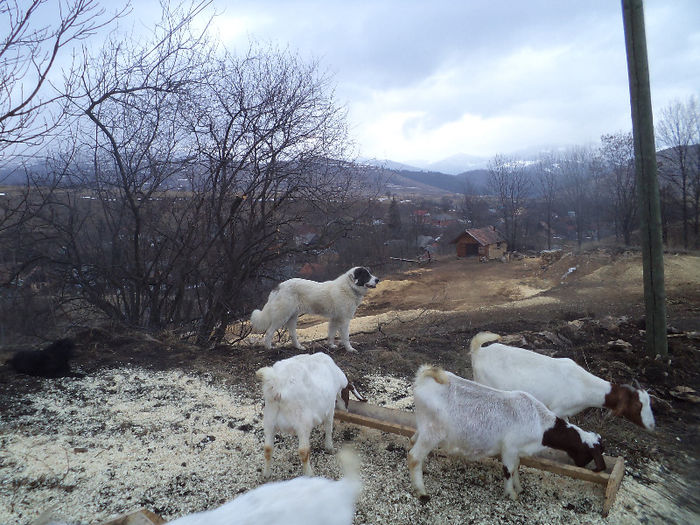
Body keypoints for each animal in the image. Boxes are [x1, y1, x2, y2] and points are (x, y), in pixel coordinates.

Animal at [252, 266, 380, 352]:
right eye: (366, 275)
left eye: (369, 273)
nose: (377, 279)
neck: (349, 287)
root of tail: (279, 286)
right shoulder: (344, 320)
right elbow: (346, 337)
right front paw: (350, 349)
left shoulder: (335, 319)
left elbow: (331, 333)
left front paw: (331, 346)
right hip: (282, 316)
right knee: (269, 332)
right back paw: (269, 348)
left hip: (292, 317)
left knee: (292, 334)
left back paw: (299, 347)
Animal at [410, 364, 608, 500]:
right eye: (590, 453)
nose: (583, 466)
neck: (540, 422)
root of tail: (424, 378)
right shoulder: (509, 447)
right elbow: (508, 470)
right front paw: (511, 494)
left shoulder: (517, 450)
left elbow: (516, 468)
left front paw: (518, 488)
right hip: (433, 432)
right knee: (414, 457)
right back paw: (421, 490)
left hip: (424, 427)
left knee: (413, 443)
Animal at [470, 332, 656, 430]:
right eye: (638, 405)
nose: (652, 424)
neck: (582, 385)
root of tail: (478, 352)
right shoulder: (557, 409)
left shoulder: (565, 412)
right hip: (486, 385)